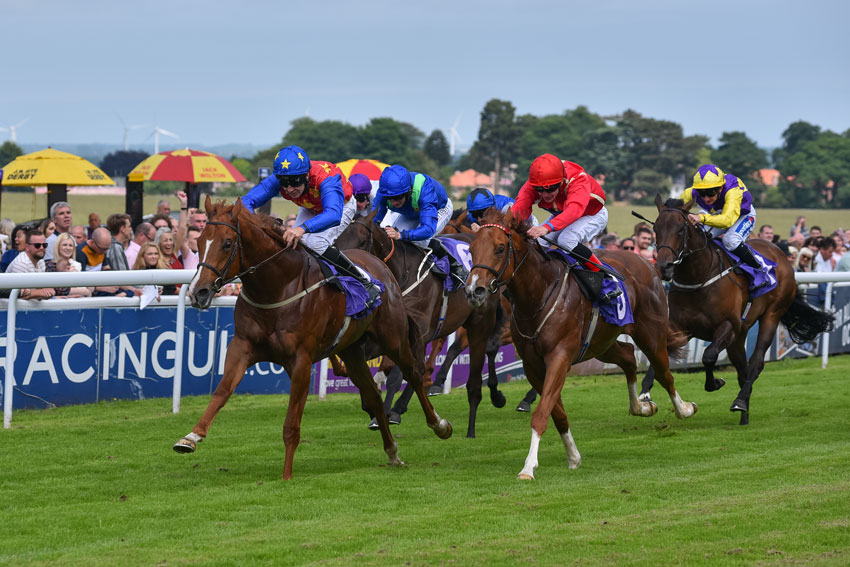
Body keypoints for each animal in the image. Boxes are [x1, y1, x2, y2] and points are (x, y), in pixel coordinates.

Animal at [173, 200, 450, 480]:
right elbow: (221, 392)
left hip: (393, 339)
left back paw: (439, 424)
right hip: (351, 350)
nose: (198, 292)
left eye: (228, 243)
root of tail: (381, 267)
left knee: (413, 374)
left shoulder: (301, 360)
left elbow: (291, 424)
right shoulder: (242, 347)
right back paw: (392, 451)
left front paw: (286, 475)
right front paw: (190, 437)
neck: (277, 286)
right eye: (199, 242)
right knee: (372, 394)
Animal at [332, 211, 504, 438]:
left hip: (480, 320)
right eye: (337, 240)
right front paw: (372, 407)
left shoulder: (414, 331)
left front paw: (387, 413)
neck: (400, 274)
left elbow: (399, 373)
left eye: (361, 241)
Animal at [464, 209, 696, 480]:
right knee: (628, 356)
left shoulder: (559, 357)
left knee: (663, 373)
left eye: (500, 248)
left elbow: (542, 413)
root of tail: (649, 265)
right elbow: (557, 413)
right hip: (602, 343)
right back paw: (641, 407)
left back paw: (684, 409)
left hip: (651, 335)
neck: (538, 294)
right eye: (471, 249)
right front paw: (573, 456)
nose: (474, 290)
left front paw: (528, 467)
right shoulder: (533, 366)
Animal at [644, 196, 828, 426]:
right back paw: (744, 415)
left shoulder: (727, 326)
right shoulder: (681, 328)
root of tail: (780, 255)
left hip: (771, 315)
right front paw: (644, 395)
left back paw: (740, 402)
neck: (698, 277)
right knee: (743, 369)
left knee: (756, 363)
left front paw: (715, 383)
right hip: (740, 335)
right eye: (655, 229)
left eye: (680, 229)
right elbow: (659, 355)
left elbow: (708, 356)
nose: (664, 267)